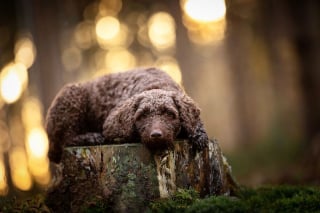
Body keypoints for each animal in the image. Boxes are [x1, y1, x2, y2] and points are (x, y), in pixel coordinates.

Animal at [45, 67, 210, 162]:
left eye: (170, 114)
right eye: (142, 116)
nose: (156, 135)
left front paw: (198, 135)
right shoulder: (111, 124)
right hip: (71, 97)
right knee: (66, 139)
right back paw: (92, 137)